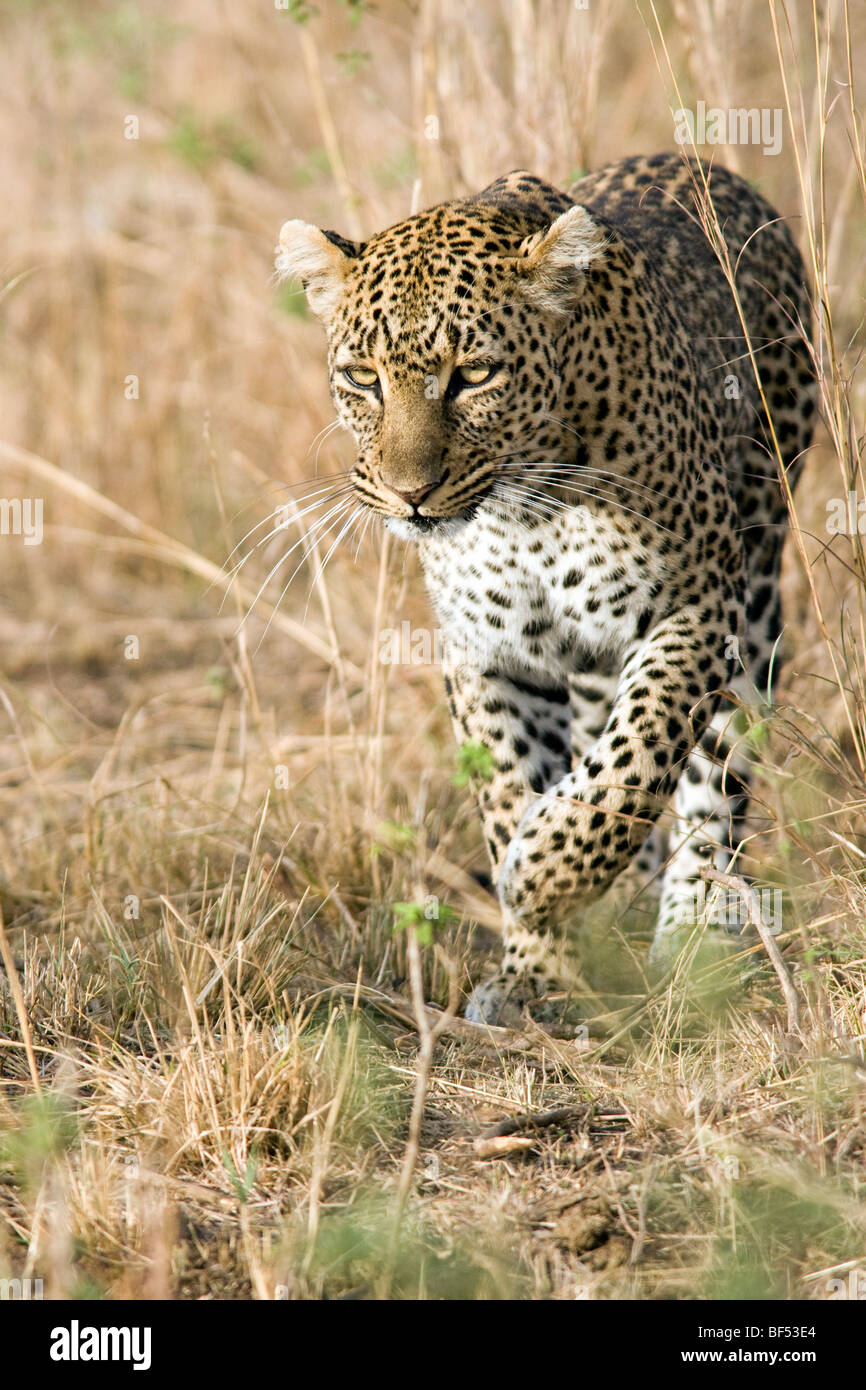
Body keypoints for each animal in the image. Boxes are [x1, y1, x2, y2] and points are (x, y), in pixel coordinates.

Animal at [273, 152, 817, 1028]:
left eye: (473, 375)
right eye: (363, 379)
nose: (408, 493)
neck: (526, 506)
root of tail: (710, 167)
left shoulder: (692, 612)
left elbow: (634, 763)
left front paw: (540, 878)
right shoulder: (488, 650)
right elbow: (509, 783)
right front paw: (535, 962)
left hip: (758, 580)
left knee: (715, 777)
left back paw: (698, 928)